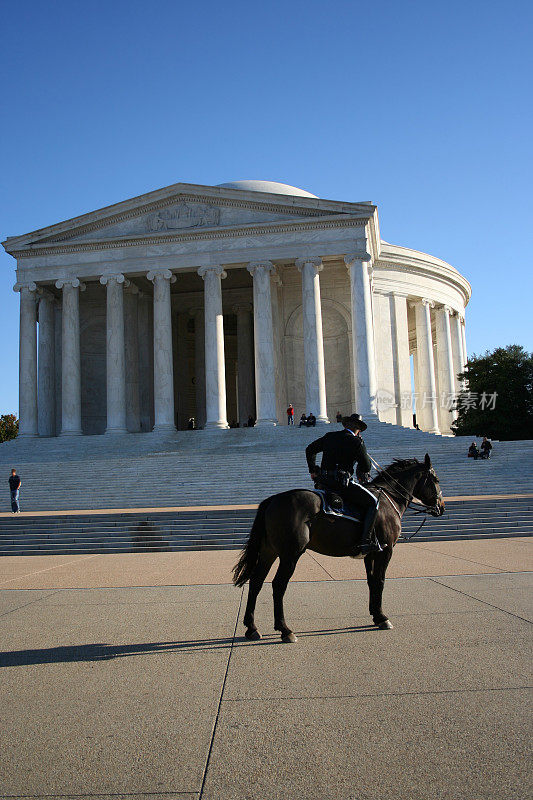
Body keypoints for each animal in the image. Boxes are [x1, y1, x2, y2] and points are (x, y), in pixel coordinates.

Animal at [233, 456, 444, 644]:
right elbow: (381, 581)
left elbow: (371, 581)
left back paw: (252, 628)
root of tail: (273, 499)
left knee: (256, 582)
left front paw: (375, 615)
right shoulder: (386, 550)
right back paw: (285, 630)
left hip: (269, 551)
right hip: (290, 554)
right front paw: (383, 617)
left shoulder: (370, 552)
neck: (389, 498)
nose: (441, 507)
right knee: (278, 585)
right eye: (436, 480)